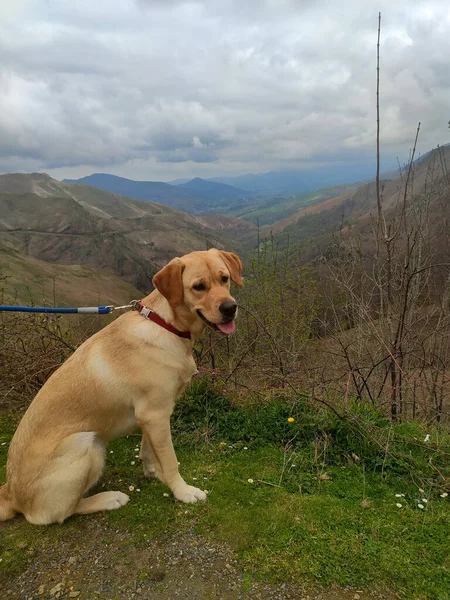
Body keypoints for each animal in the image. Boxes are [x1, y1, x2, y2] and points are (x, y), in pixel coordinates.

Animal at [0, 248, 243, 524]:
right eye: (198, 286)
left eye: (224, 279)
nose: (230, 308)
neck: (166, 325)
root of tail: (10, 493)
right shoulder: (155, 413)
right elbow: (171, 460)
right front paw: (182, 491)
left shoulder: (152, 415)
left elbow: (149, 448)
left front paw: (152, 470)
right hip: (86, 443)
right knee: (59, 513)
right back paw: (109, 498)